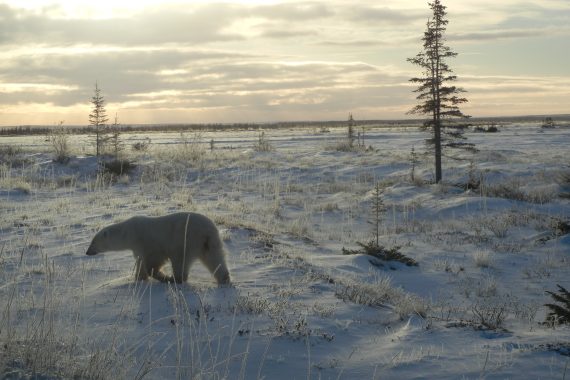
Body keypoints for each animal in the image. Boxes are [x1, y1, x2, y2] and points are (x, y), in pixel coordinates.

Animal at [85, 212, 230, 284]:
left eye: (93, 242)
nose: (87, 252)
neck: (129, 232)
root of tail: (207, 232)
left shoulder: (148, 243)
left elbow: (153, 262)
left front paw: (159, 275)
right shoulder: (138, 248)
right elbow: (140, 261)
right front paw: (139, 278)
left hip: (186, 241)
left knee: (180, 261)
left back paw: (173, 279)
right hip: (210, 243)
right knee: (215, 260)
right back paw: (225, 279)